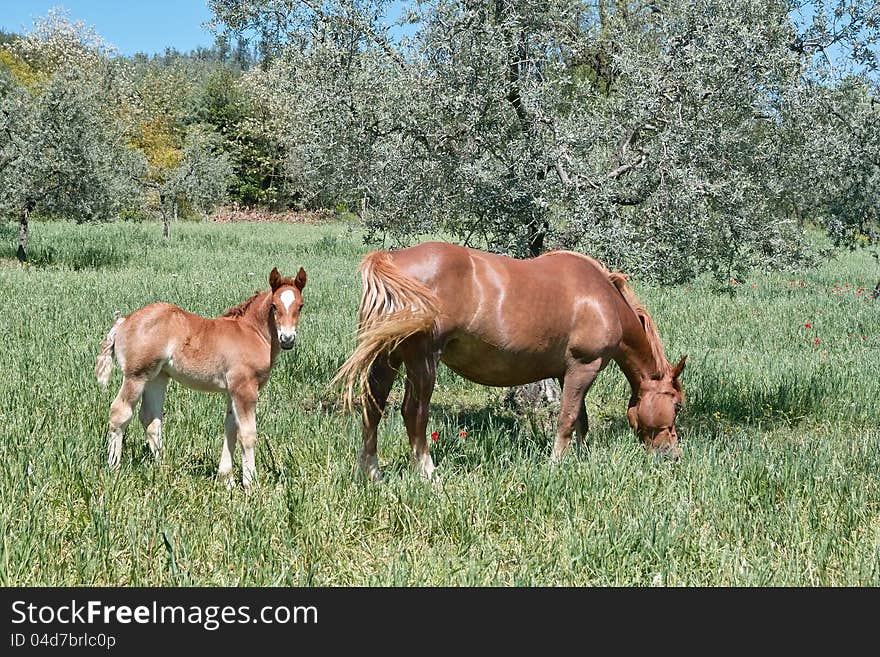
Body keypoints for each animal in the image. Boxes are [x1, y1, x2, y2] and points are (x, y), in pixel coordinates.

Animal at [95, 266, 308, 486]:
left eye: (300, 306)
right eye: (274, 306)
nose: (287, 339)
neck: (252, 332)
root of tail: (124, 321)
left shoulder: (231, 391)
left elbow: (230, 429)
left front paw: (226, 480)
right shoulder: (245, 388)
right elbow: (247, 433)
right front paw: (250, 483)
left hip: (157, 377)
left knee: (150, 418)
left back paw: (163, 467)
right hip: (136, 376)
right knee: (120, 413)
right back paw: (114, 467)